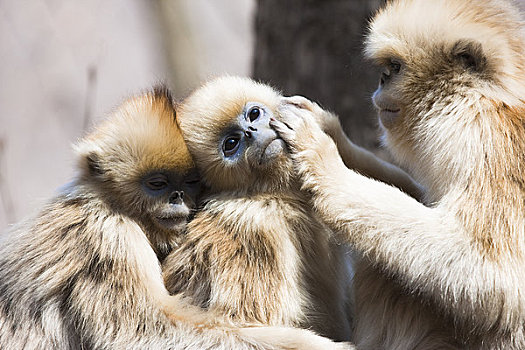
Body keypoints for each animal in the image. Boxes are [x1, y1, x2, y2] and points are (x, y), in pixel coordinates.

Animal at [272, 0, 524, 348]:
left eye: (396, 67)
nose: (382, 79)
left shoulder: (480, 138)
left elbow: (496, 279)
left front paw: (322, 159)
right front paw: (333, 134)